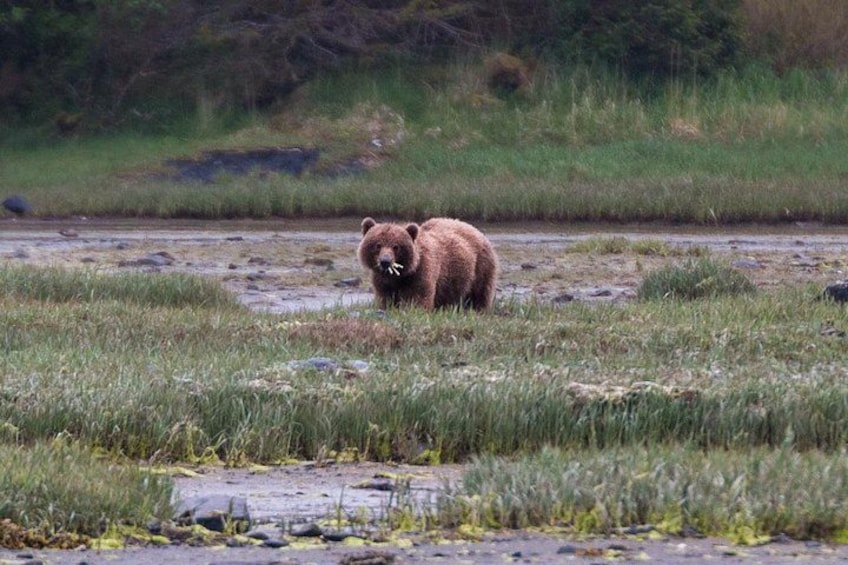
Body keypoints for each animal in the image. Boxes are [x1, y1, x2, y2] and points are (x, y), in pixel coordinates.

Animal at [358, 217, 498, 311]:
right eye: (377, 245)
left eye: (396, 246)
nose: (385, 262)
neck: (400, 275)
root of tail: (476, 230)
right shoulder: (382, 281)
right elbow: (385, 297)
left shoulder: (422, 271)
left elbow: (420, 297)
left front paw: (415, 309)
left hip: (480, 265)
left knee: (479, 292)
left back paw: (478, 309)